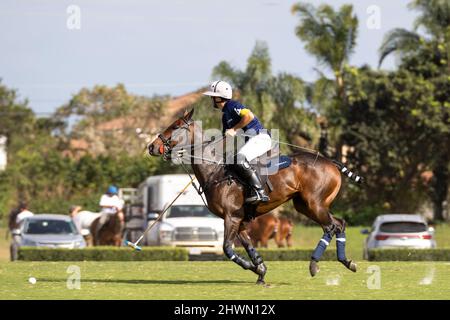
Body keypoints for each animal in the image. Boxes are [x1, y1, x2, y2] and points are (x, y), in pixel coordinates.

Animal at [148, 110, 362, 284]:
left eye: (175, 125)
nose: (152, 146)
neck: (216, 172)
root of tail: (331, 162)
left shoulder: (231, 217)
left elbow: (227, 249)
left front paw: (254, 268)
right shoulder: (240, 221)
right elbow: (250, 248)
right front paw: (260, 271)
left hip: (314, 203)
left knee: (330, 227)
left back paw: (314, 264)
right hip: (305, 205)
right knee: (339, 224)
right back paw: (347, 262)